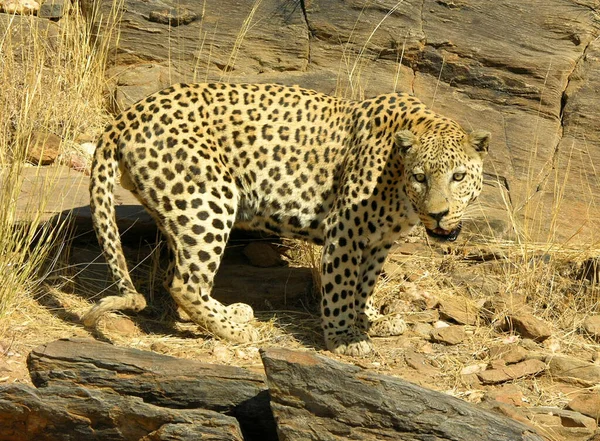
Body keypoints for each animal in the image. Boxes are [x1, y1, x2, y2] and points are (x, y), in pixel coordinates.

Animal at [83, 82, 488, 356]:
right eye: (421, 177)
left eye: (458, 177)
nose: (438, 214)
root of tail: (123, 118)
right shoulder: (345, 229)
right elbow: (343, 285)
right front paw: (344, 337)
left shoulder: (378, 241)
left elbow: (366, 283)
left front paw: (371, 318)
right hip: (209, 198)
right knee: (183, 282)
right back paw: (238, 332)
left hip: (179, 210)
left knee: (176, 273)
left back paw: (233, 314)